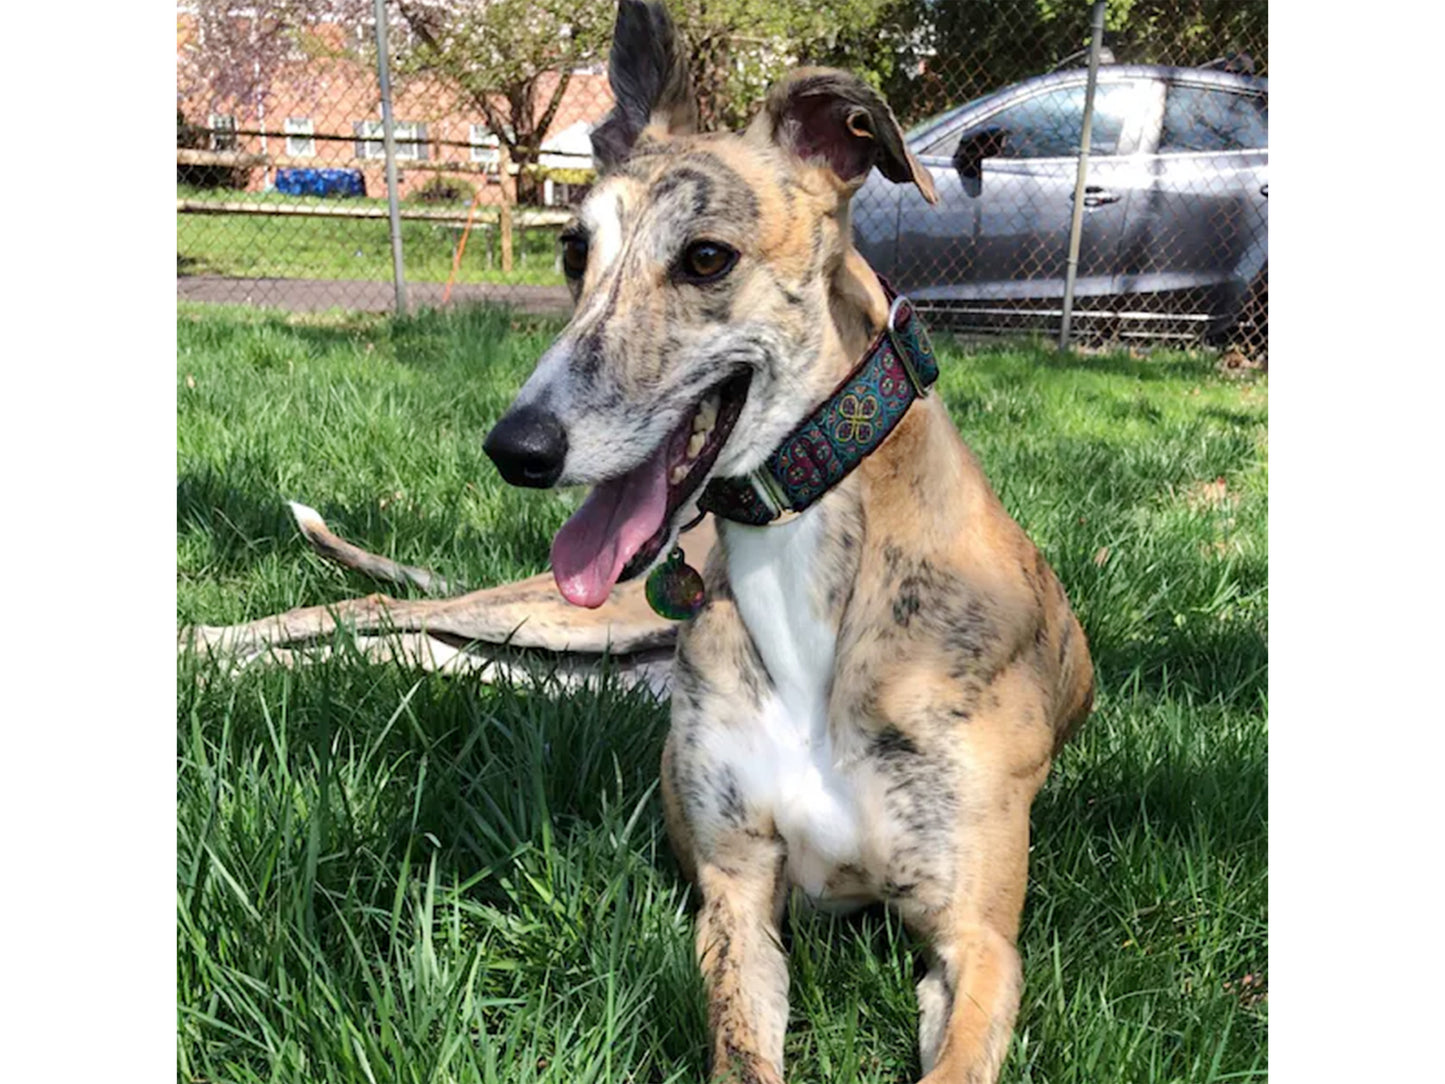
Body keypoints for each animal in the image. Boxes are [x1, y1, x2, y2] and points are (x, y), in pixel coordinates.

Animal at [479, 4, 1086, 1081]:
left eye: (705, 258)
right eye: (571, 252)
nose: (517, 448)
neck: (803, 550)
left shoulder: (976, 937)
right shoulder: (734, 894)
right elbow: (741, 1042)